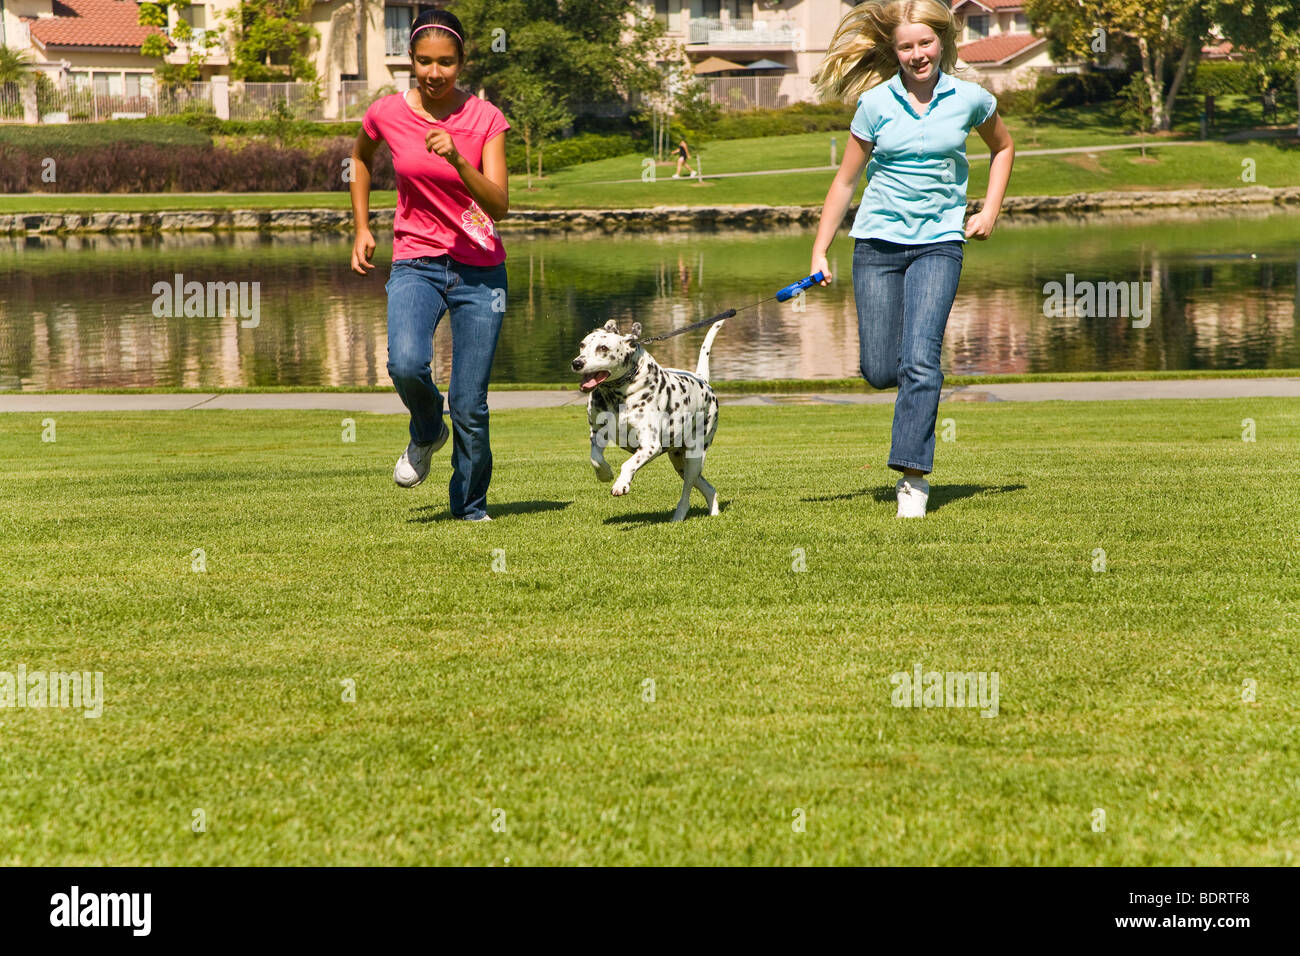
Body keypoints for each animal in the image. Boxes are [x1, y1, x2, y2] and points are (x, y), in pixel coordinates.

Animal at [574, 319, 728, 522]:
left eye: (603, 347)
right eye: (582, 345)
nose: (577, 363)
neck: (617, 395)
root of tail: (702, 380)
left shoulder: (650, 445)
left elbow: (628, 463)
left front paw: (621, 484)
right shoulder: (597, 433)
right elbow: (596, 458)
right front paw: (605, 474)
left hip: (693, 458)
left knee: (686, 494)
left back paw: (678, 517)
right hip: (679, 462)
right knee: (709, 489)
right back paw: (713, 512)